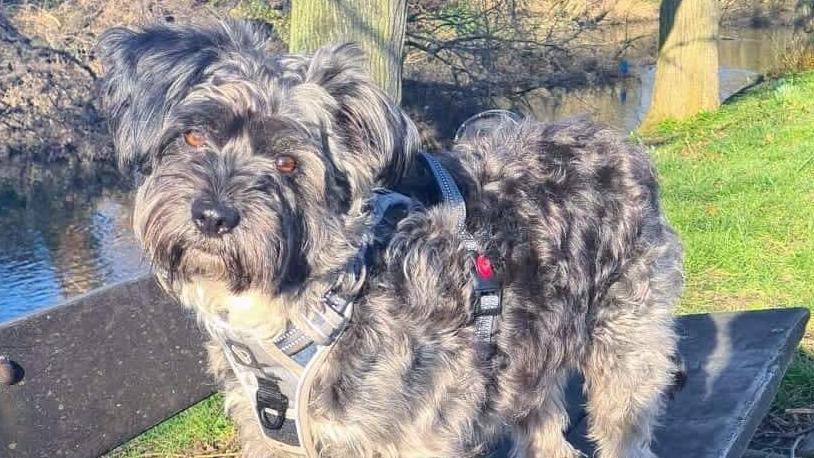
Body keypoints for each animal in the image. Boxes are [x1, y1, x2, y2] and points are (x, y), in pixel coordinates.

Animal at [100, 18, 688, 458]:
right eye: (193, 136)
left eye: (289, 163)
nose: (213, 216)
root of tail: (617, 142)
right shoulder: (273, 439)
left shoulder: (416, 437)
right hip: (530, 355)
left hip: (626, 344)